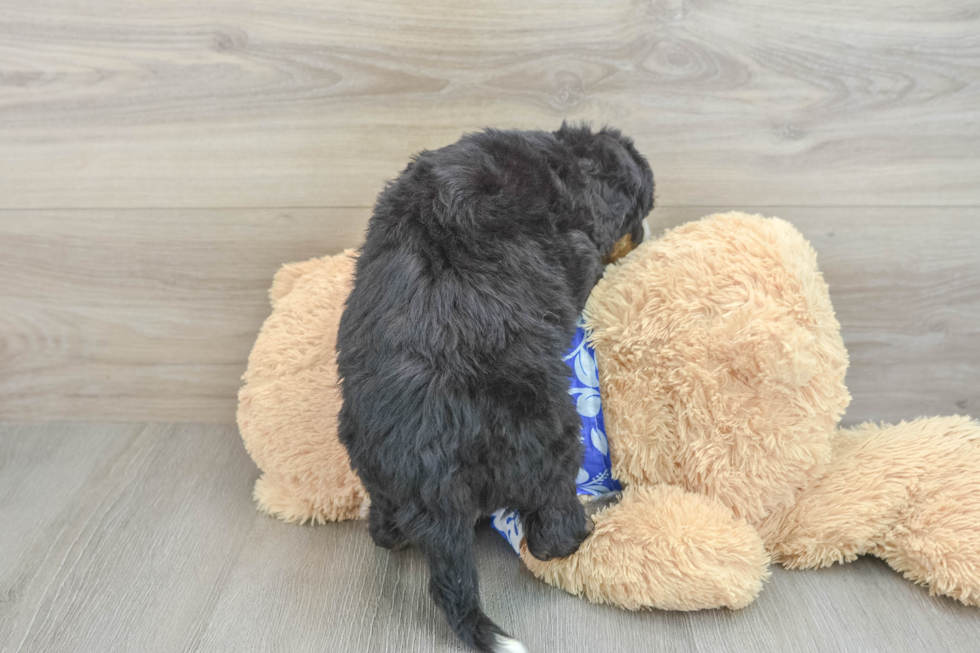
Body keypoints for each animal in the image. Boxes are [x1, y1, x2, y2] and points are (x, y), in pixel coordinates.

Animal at [334, 123, 652, 652]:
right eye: (639, 212)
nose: (644, 236)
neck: (565, 163)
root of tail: (433, 480)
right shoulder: (579, 250)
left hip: (373, 466)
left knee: (385, 529)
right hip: (551, 434)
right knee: (549, 532)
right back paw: (587, 526)